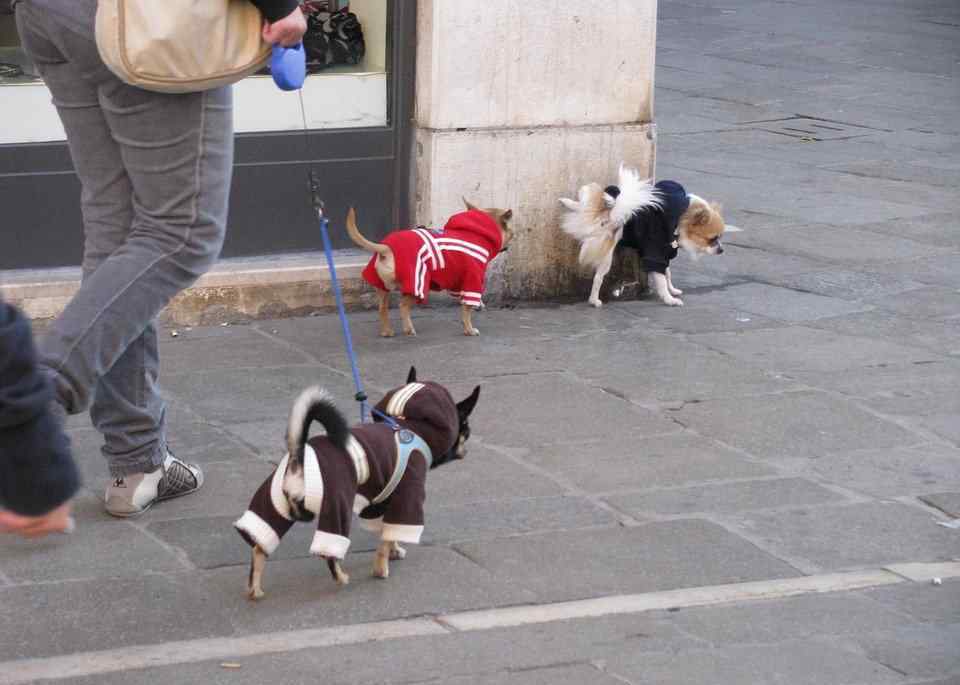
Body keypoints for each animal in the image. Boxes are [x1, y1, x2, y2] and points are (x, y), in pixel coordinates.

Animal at [233, 368, 480, 600]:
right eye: (467, 430)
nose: (467, 449)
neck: (412, 426)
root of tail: (298, 456)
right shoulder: (408, 495)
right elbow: (386, 540)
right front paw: (381, 569)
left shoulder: (380, 501)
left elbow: (387, 532)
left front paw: (394, 550)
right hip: (336, 504)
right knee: (329, 552)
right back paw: (341, 577)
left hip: (274, 505)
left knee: (259, 547)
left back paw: (255, 590)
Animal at [344, 198, 510, 336]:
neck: (477, 232)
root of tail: (386, 249)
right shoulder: (472, 279)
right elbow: (466, 310)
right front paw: (469, 329)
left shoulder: (458, 284)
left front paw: (479, 305)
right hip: (417, 285)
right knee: (403, 306)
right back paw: (408, 329)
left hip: (383, 287)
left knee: (382, 308)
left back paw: (387, 332)